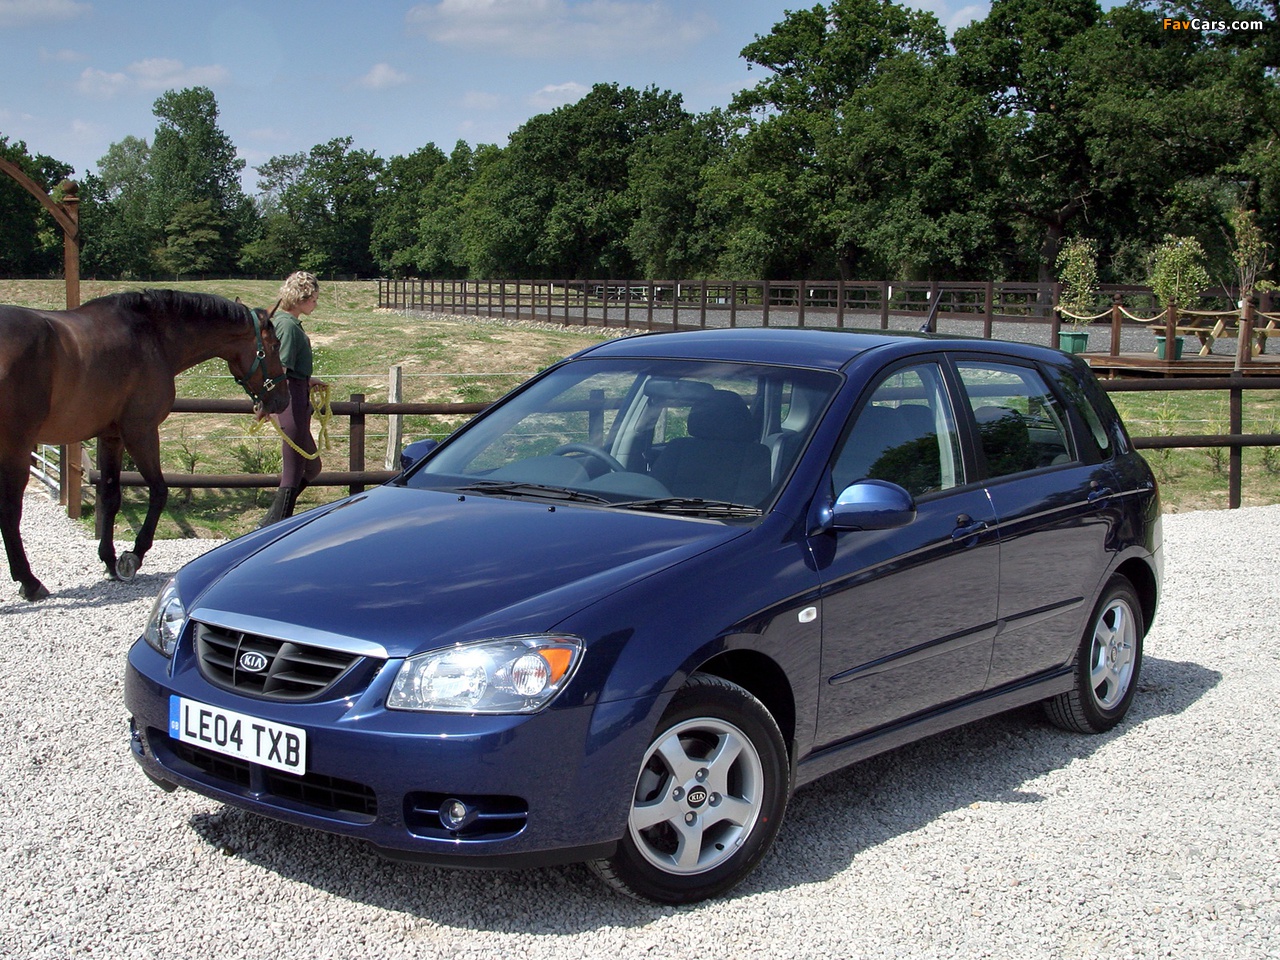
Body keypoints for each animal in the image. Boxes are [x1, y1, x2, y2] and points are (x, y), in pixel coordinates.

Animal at [0, 289, 289, 601]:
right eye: (274, 345)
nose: (282, 400)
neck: (151, 336)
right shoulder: (141, 432)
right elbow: (159, 491)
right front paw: (133, 557)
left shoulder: (112, 437)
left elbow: (111, 496)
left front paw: (109, 560)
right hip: (16, 447)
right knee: (10, 511)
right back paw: (30, 582)